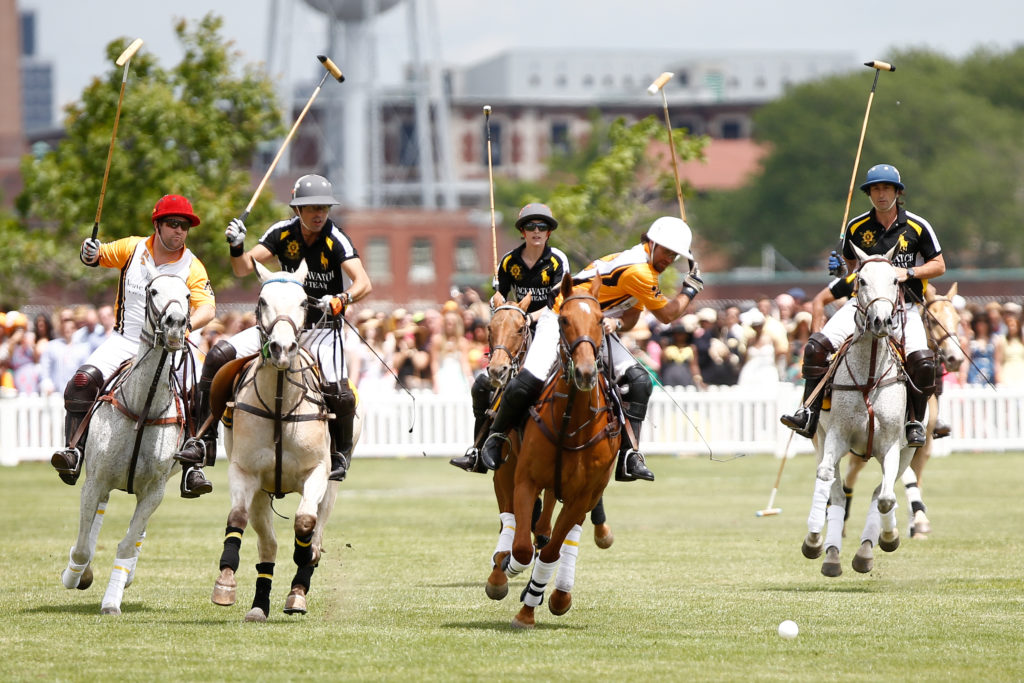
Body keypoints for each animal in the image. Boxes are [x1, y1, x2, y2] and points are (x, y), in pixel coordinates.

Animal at [60, 266, 193, 614]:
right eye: (153, 291)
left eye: (188, 295)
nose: (175, 324)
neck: (142, 406)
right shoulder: (94, 480)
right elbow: (82, 546)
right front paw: (75, 574)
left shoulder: (155, 489)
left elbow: (127, 542)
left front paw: (112, 600)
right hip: (100, 477)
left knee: (136, 532)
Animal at [207, 262, 360, 626]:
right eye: (262, 300)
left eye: (304, 302)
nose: (281, 349)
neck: (279, 400)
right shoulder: (245, 472)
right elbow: (237, 517)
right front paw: (225, 583)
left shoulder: (317, 472)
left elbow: (305, 524)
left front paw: (301, 575)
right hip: (263, 494)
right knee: (269, 545)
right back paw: (259, 605)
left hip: (333, 483)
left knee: (316, 531)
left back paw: (298, 590)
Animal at [491, 274, 618, 626]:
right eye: (564, 320)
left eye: (600, 319)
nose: (586, 372)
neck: (569, 422)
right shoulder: (523, 479)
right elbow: (522, 546)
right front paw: (508, 570)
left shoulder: (582, 495)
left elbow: (550, 550)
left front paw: (532, 605)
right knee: (525, 528)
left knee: (556, 536)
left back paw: (559, 592)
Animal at [802, 245, 917, 577]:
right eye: (861, 280)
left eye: (895, 280)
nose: (882, 321)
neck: (869, 375)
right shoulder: (835, 436)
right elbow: (826, 478)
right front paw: (815, 540)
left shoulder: (892, 445)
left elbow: (886, 498)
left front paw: (888, 539)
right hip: (820, 437)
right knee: (837, 491)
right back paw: (828, 551)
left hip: (908, 450)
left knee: (881, 492)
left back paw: (867, 549)